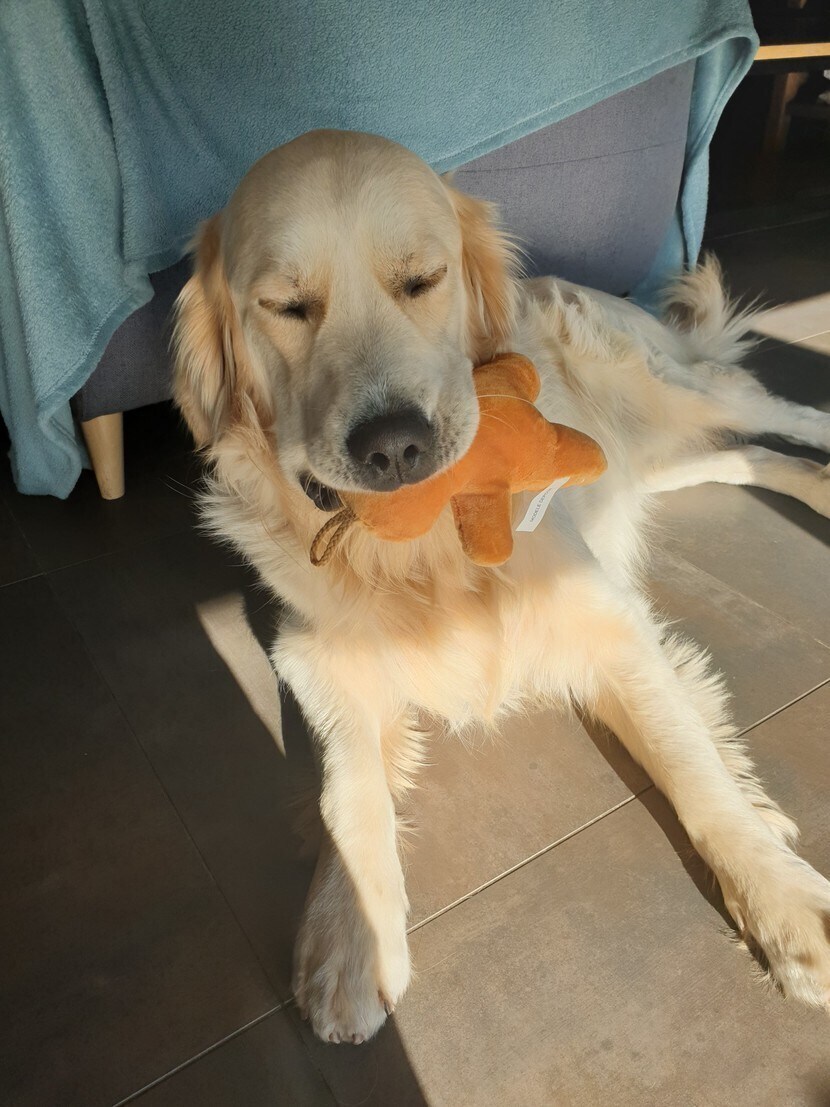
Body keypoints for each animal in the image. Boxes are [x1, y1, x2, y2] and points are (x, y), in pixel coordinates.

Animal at [172, 129, 830, 1045]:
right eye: (286, 305)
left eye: (422, 280)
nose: (393, 445)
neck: (421, 552)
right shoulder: (314, 653)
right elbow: (348, 790)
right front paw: (350, 935)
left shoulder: (607, 622)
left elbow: (696, 771)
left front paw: (784, 898)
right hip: (645, 463)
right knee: (754, 456)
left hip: (670, 387)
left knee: (782, 414)